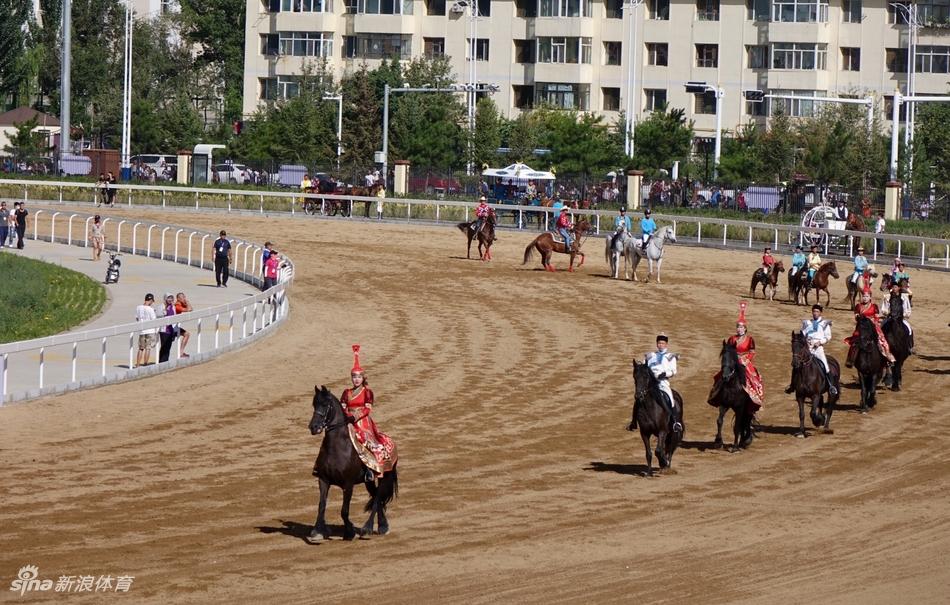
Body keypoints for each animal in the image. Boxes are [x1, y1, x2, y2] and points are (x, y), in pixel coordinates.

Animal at [308, 386, 398, 544]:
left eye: (325, 404)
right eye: (314, 404)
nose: (313, 427)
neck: (337, 448)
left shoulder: (348, 484)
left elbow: (344, 511)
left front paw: (349, 532)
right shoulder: (323, 480)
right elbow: (321, 505)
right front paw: (317, 532)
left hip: (383, 477)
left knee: (377, 499)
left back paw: (366, 529)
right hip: (368, 481)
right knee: (377, 497)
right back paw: (383, 526)